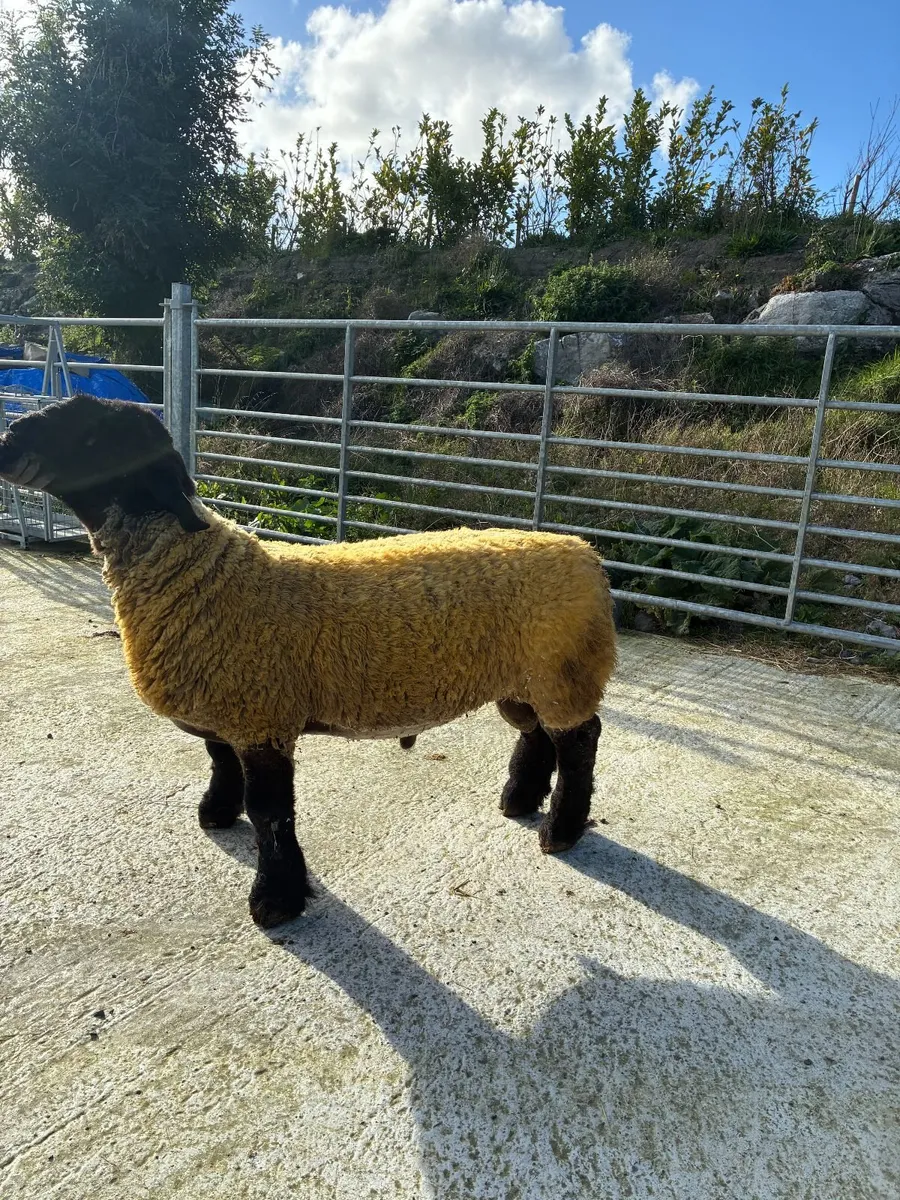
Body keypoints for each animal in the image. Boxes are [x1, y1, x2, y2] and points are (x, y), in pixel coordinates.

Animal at [0, 394, 617, 927]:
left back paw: (561, 829)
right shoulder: (229, 706)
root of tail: (585, 554)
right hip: (526, 679)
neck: (204, 574)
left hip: (564, 669)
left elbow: (272, 813)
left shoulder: (262, 716)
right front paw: (217, 814)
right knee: (537, 735)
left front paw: (275, 900)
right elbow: (219, 763)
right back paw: (520, 800)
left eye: (93, 433)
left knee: (579, 741)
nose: (7, 440)